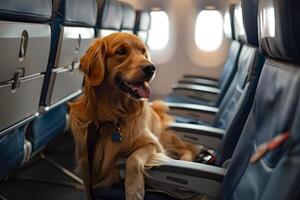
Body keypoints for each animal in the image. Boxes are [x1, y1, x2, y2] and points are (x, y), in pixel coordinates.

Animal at [69, 33, 203, 200]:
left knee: (188, 149)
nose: (151, 68)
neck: (113, 117)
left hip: (167, 137)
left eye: (143, 51)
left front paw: (134, 191)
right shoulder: (85, 165)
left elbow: (133, 159)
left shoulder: (154, 144)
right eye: (121, 51)